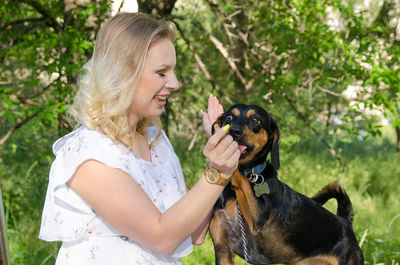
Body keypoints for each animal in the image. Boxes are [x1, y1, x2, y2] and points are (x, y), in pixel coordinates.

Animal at [211, 103, 364, 264]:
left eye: (255, 120)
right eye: (229, 117)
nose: (233, 131)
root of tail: (345, 222)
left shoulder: (258, 218)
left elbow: (240, 177)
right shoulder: (223, 251)